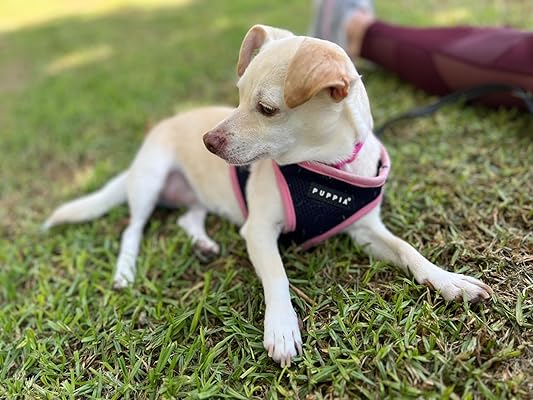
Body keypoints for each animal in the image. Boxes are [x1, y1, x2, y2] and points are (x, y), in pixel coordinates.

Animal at [44, 25, 493, 367]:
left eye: (267, 109)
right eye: (238, 94)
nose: (207, 142)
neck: (326, 168)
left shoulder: (365, 231)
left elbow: (407, 250)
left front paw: (448, 281)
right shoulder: (258, 230)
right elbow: (277, 273)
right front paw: (281, 325)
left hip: (193, 196)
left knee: (189, 216)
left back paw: (203, 243)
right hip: (149, 180)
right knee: (132, 229)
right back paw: (125, 269)